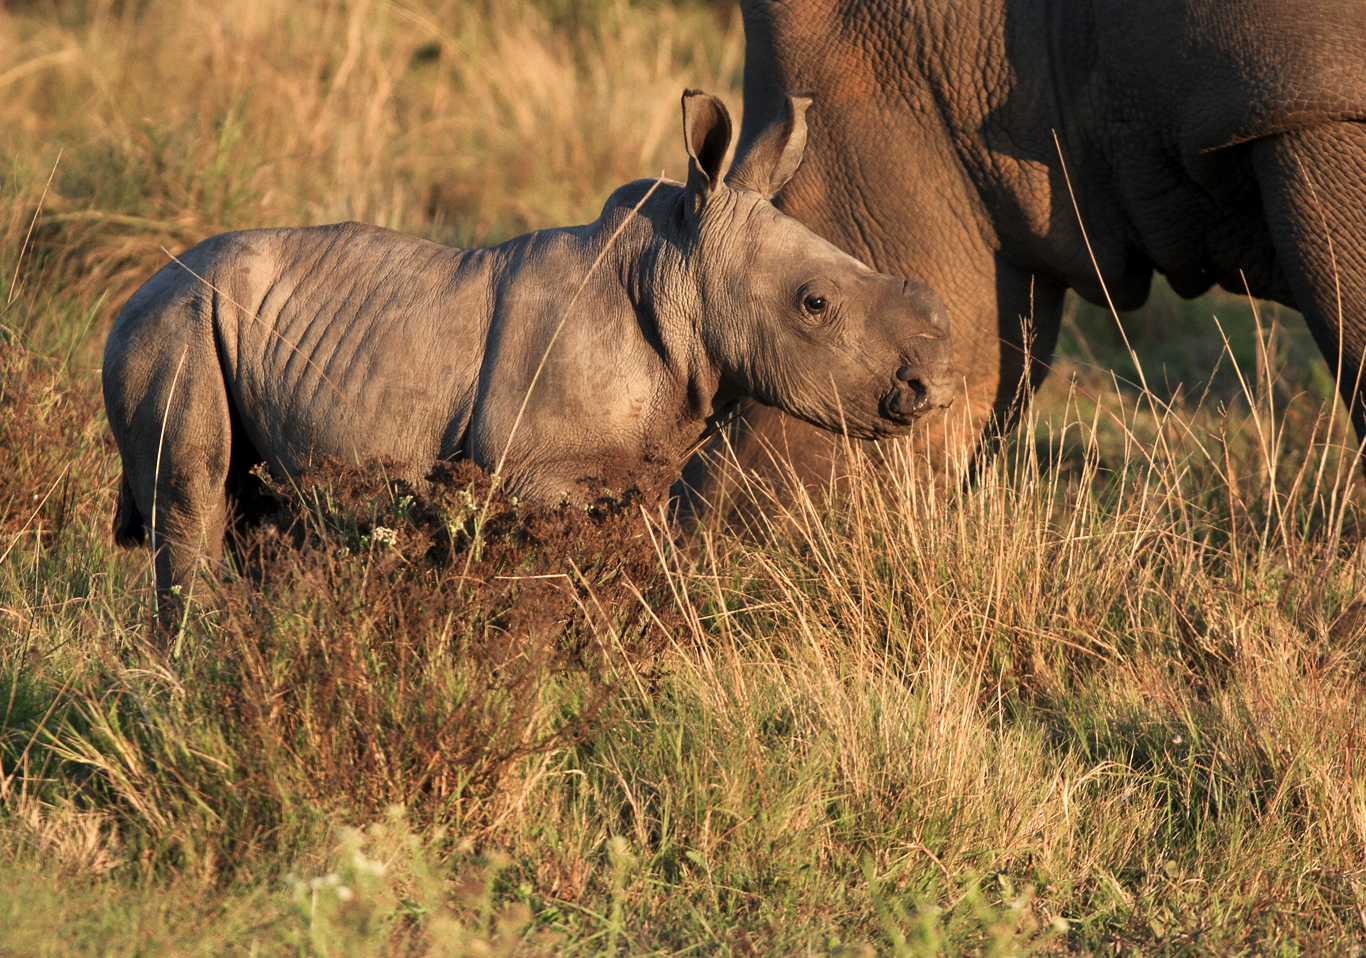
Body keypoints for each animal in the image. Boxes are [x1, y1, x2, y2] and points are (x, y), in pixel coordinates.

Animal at [103, 91, 950, 598]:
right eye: (816, 305)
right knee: (193, 498)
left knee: (255, 511)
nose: (931, 387)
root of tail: (133, 293)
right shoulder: (539, 476)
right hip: (173, 322)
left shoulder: (641, 471)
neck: (676, 268)